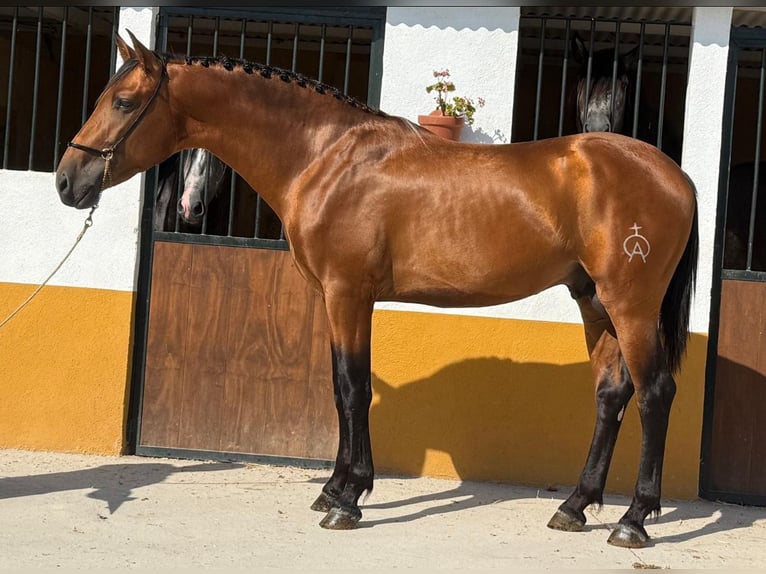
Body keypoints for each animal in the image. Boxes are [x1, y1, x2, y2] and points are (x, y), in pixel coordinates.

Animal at [55, 33, 699, 549]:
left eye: (123, 102)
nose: (66, 181)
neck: (325, 157)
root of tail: (676, 174)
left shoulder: (348, 293)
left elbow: (351, 387)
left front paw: (347, 500)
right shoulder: (335, 298)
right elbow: (341, 386)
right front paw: (334, 488)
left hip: (630, 305)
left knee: (655, 393)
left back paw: (633, 521)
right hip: (595, 302)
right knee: (611, 395)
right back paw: (575, 507)